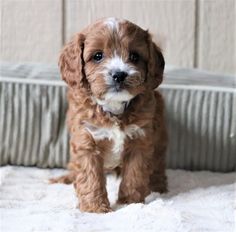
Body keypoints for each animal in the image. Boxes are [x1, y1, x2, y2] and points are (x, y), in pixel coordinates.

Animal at [50, 18, 167, 214]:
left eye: (134, 56)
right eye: (97, 56)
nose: (119, 74)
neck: (113, 107)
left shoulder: (141, 140)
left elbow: (135, 174)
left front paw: (130, 202)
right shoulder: (86, 140)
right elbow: (90, 177)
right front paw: (95, 208)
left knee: (158, 162)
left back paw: (159, 186)